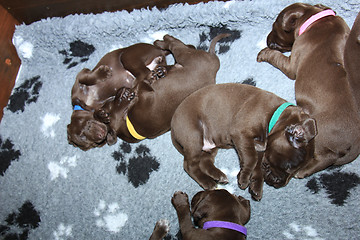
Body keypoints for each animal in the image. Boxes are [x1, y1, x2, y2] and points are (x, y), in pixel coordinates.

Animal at [94, 34, 229, 144]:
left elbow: (139, 81)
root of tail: (214, 63)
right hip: (185, 55)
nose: (120, 90)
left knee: (179, 45)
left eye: (109, 104)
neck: (129, 121)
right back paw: (161, 49)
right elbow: (141, 82)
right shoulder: (145, 91)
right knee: (175, 44)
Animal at [170, 83, 316, 200]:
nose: (279, 183)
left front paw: (256, 186)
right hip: (194, 135)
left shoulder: (260, 148)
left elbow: (258, 165)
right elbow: (251, 159)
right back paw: (208, 182)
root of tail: (173, 125)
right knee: (189, 165)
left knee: (205, 162)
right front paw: (244, 178)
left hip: (210, 146)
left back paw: (219, 176)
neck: (275, 116)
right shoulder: (241, 133)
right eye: (288, 167)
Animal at [256, 2, 360, 178]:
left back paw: (301, 171)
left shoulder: (291, 63)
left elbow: (277, 57)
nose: (267, 41)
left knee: (322, 157)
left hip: (315, 134)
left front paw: (264, 53)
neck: (315, 17)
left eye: (275, 26)